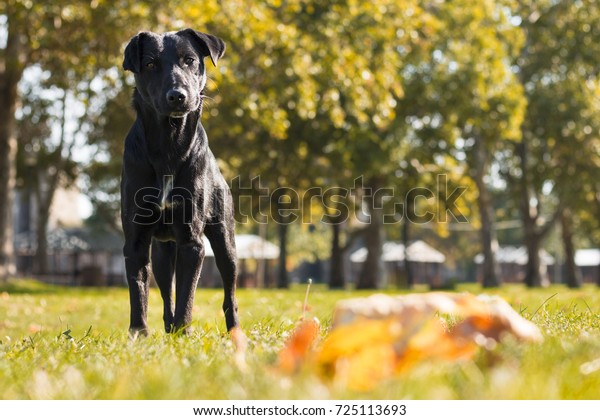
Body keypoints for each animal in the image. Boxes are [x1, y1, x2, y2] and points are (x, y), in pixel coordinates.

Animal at [121, 28, 239, 338]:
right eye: (150, 64)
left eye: (190, 60)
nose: (178, 96)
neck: (168, 144)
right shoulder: (136, 241)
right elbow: (139, 294)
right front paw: (138, 336)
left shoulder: (191, 242)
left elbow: (188, 294)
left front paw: (183, 334)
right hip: (162, 253)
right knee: (166, 293)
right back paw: (167, 327)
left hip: (226, 242)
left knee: (230, 293)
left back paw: (235, 332)